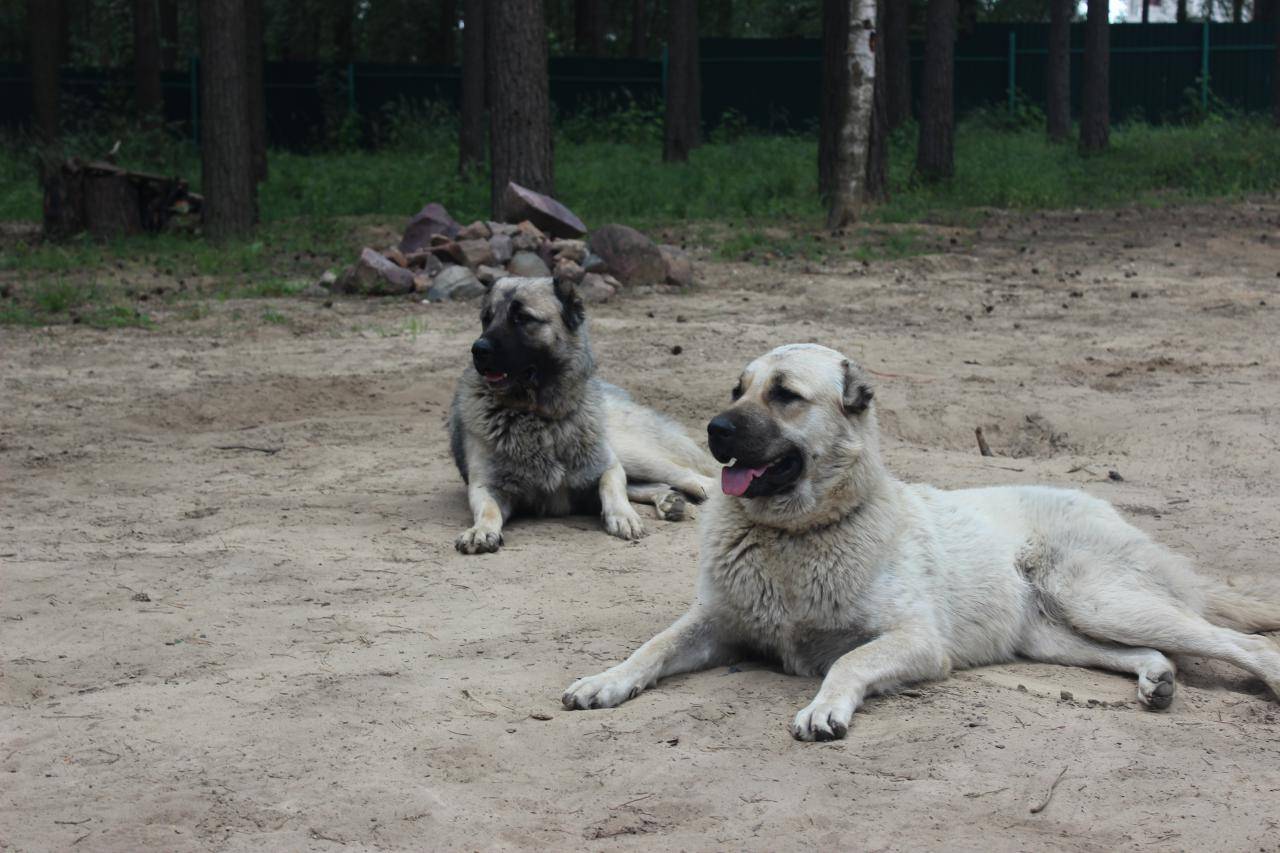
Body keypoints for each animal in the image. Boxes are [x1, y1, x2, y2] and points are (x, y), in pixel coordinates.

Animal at [563, 343, 1280, 737]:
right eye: (737, 390)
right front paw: (605, 682)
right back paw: (1155, 679)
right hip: (1053, 634)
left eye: (785, 395)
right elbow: (651, 647)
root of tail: (1108, 507)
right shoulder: (714, 624)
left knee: (1239, 642)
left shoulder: (916, 641)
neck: (797, 535)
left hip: (1096, 598)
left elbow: (848, 662)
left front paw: (824, 709)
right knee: (1150, 650)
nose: (714, 429)